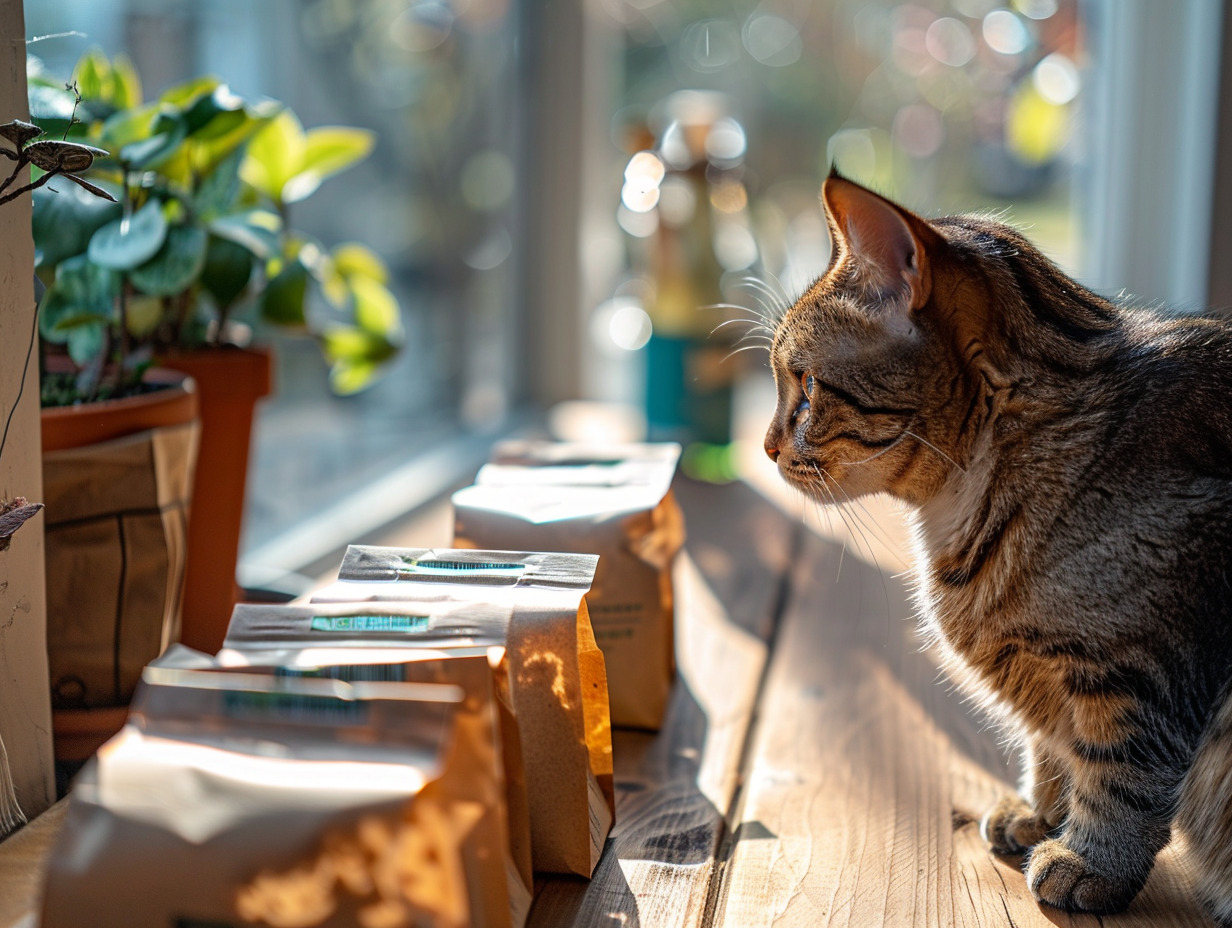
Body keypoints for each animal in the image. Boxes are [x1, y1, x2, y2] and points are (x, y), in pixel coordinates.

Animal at [763, 172, 1227, 921]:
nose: (766, 445)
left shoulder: (1145, 666)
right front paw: (1041, 814)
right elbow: (1052, 747)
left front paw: (1090, 859)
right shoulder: (1052, 677)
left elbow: (1125, 778)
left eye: (804, 387)